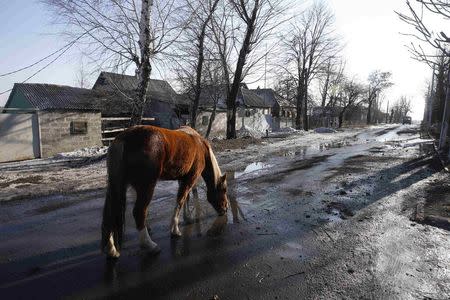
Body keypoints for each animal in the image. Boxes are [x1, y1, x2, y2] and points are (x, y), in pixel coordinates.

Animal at [102, 124, 229, 258]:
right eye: (224, 190)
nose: (225, 209)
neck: (200, 146)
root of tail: (124, 139)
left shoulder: (183, 178)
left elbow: (186, 198)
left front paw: (187, 217)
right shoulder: (190, 179)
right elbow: (180, 200)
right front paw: (175, 230)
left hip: (117, 186)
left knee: (111, 214)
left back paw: (112, 250)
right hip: (147, 186)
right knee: (139, 212)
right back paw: (149, 245)